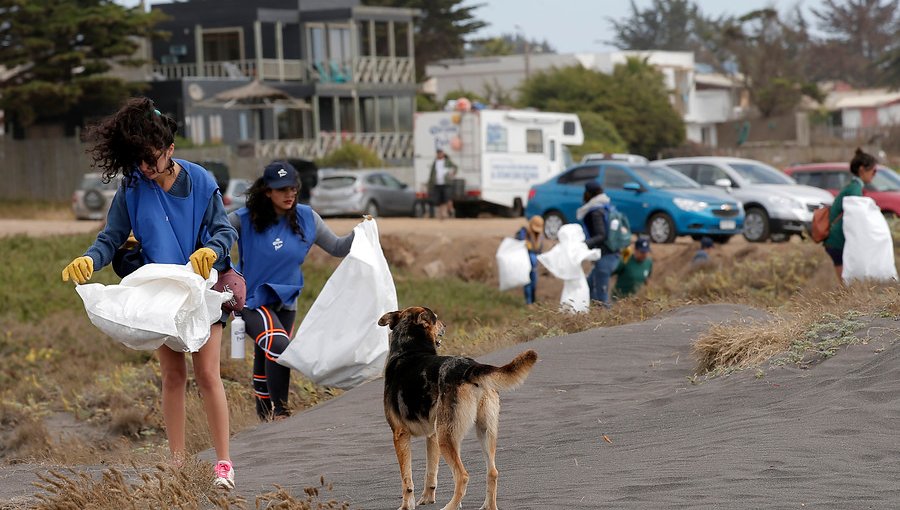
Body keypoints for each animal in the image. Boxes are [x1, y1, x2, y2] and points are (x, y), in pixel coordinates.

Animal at [378, 306, 536, 510]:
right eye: (436, 319)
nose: (445, 325)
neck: (408, 350)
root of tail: (470, 367)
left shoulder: (400, 435)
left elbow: (407, 480)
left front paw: (407, 506)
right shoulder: (432, 436)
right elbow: (431, 473)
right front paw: (427, 499)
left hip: (446, 437)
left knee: (463, 476)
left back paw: (450, 506)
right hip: (481, 432)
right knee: (492, 472)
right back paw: (487, 506)